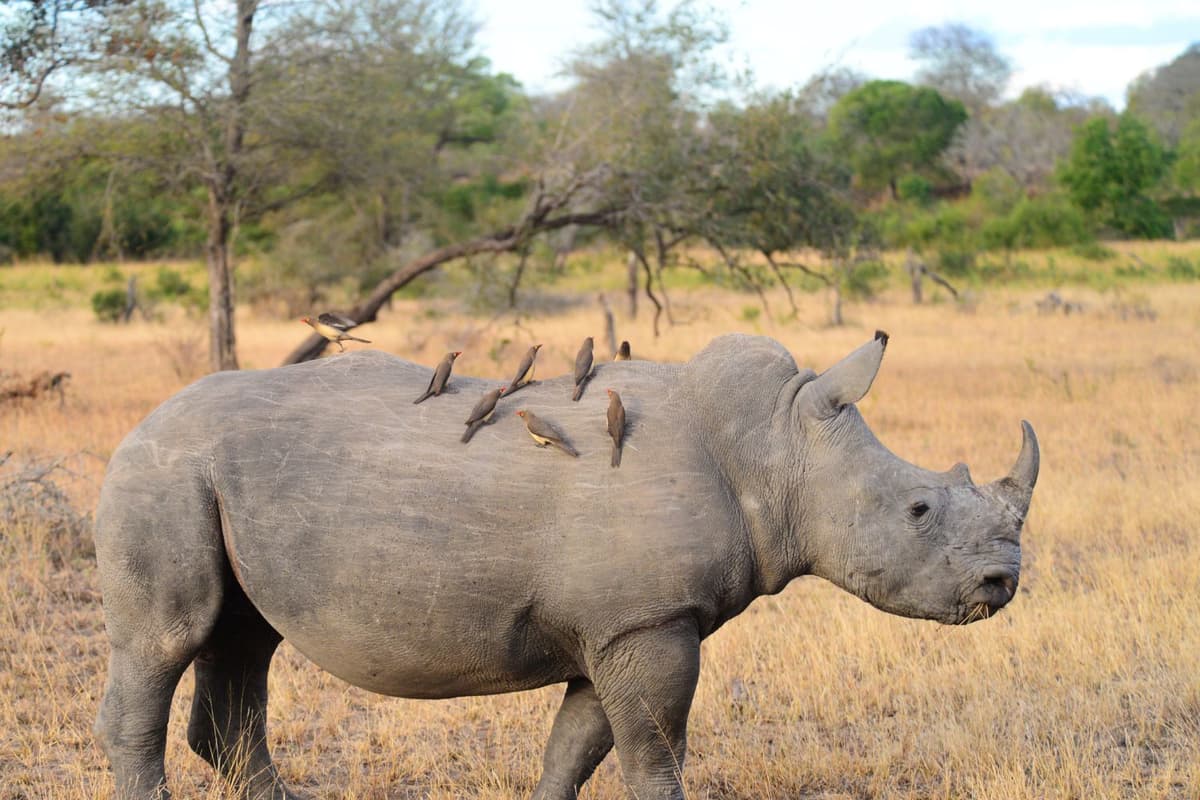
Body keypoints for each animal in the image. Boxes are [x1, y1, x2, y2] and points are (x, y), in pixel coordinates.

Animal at [93, 332, 1039, 800]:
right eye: (917, 511)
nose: (1003, 584)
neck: (775, 445)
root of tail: (138, 424)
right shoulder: (649, 621)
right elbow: (653, 755)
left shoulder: (618, 623)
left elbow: (575, 751)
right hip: (161, 472)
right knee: (167, 640)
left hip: (212, 478)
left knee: (242, 640)